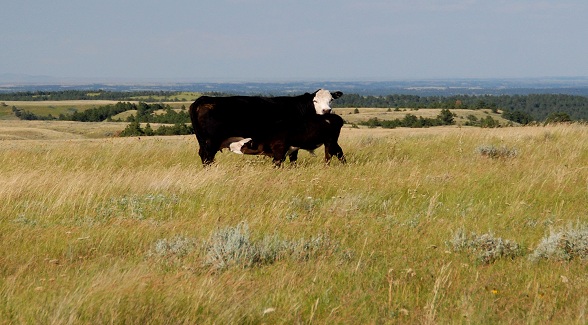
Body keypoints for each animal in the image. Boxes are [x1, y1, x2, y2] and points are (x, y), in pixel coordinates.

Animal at [188, 88, 344, 166]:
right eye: (315, 100)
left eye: (331, 100)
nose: (326, 111)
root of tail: (203, 99)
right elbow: (293, 159)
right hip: (211, 142)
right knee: (207, 157)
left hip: (203, 142)